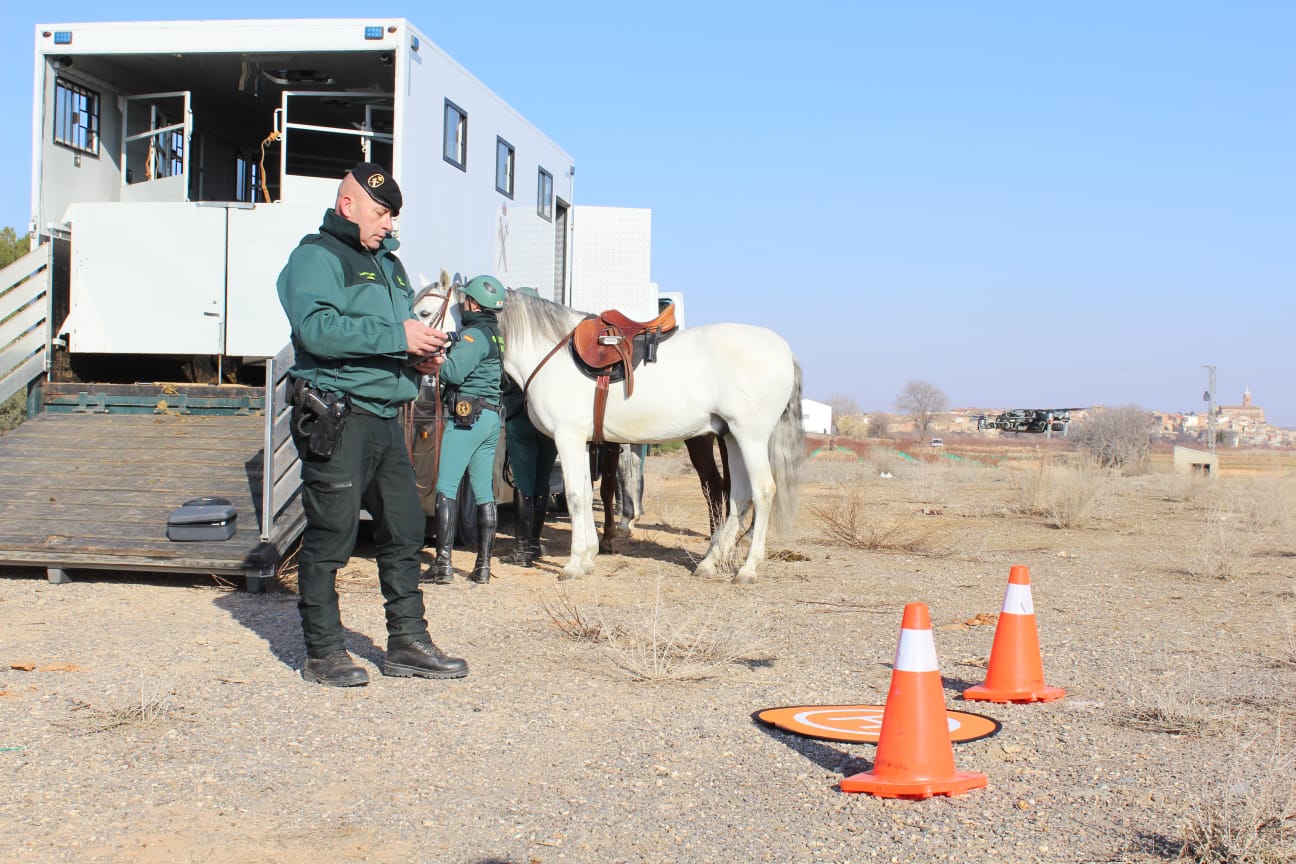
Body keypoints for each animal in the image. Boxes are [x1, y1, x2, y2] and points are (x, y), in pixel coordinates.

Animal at [500, 288, 803, 580]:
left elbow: (575, 496)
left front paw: (574, 565)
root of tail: (785, 351)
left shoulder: (568, 437)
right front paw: (587, 557)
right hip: (732, 438)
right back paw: (709, 563)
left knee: (762, 491)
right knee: (739, 496)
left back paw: (748, 568)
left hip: (750, 438)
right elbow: (585, 494)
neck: (553, 356)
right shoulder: (584, 442)